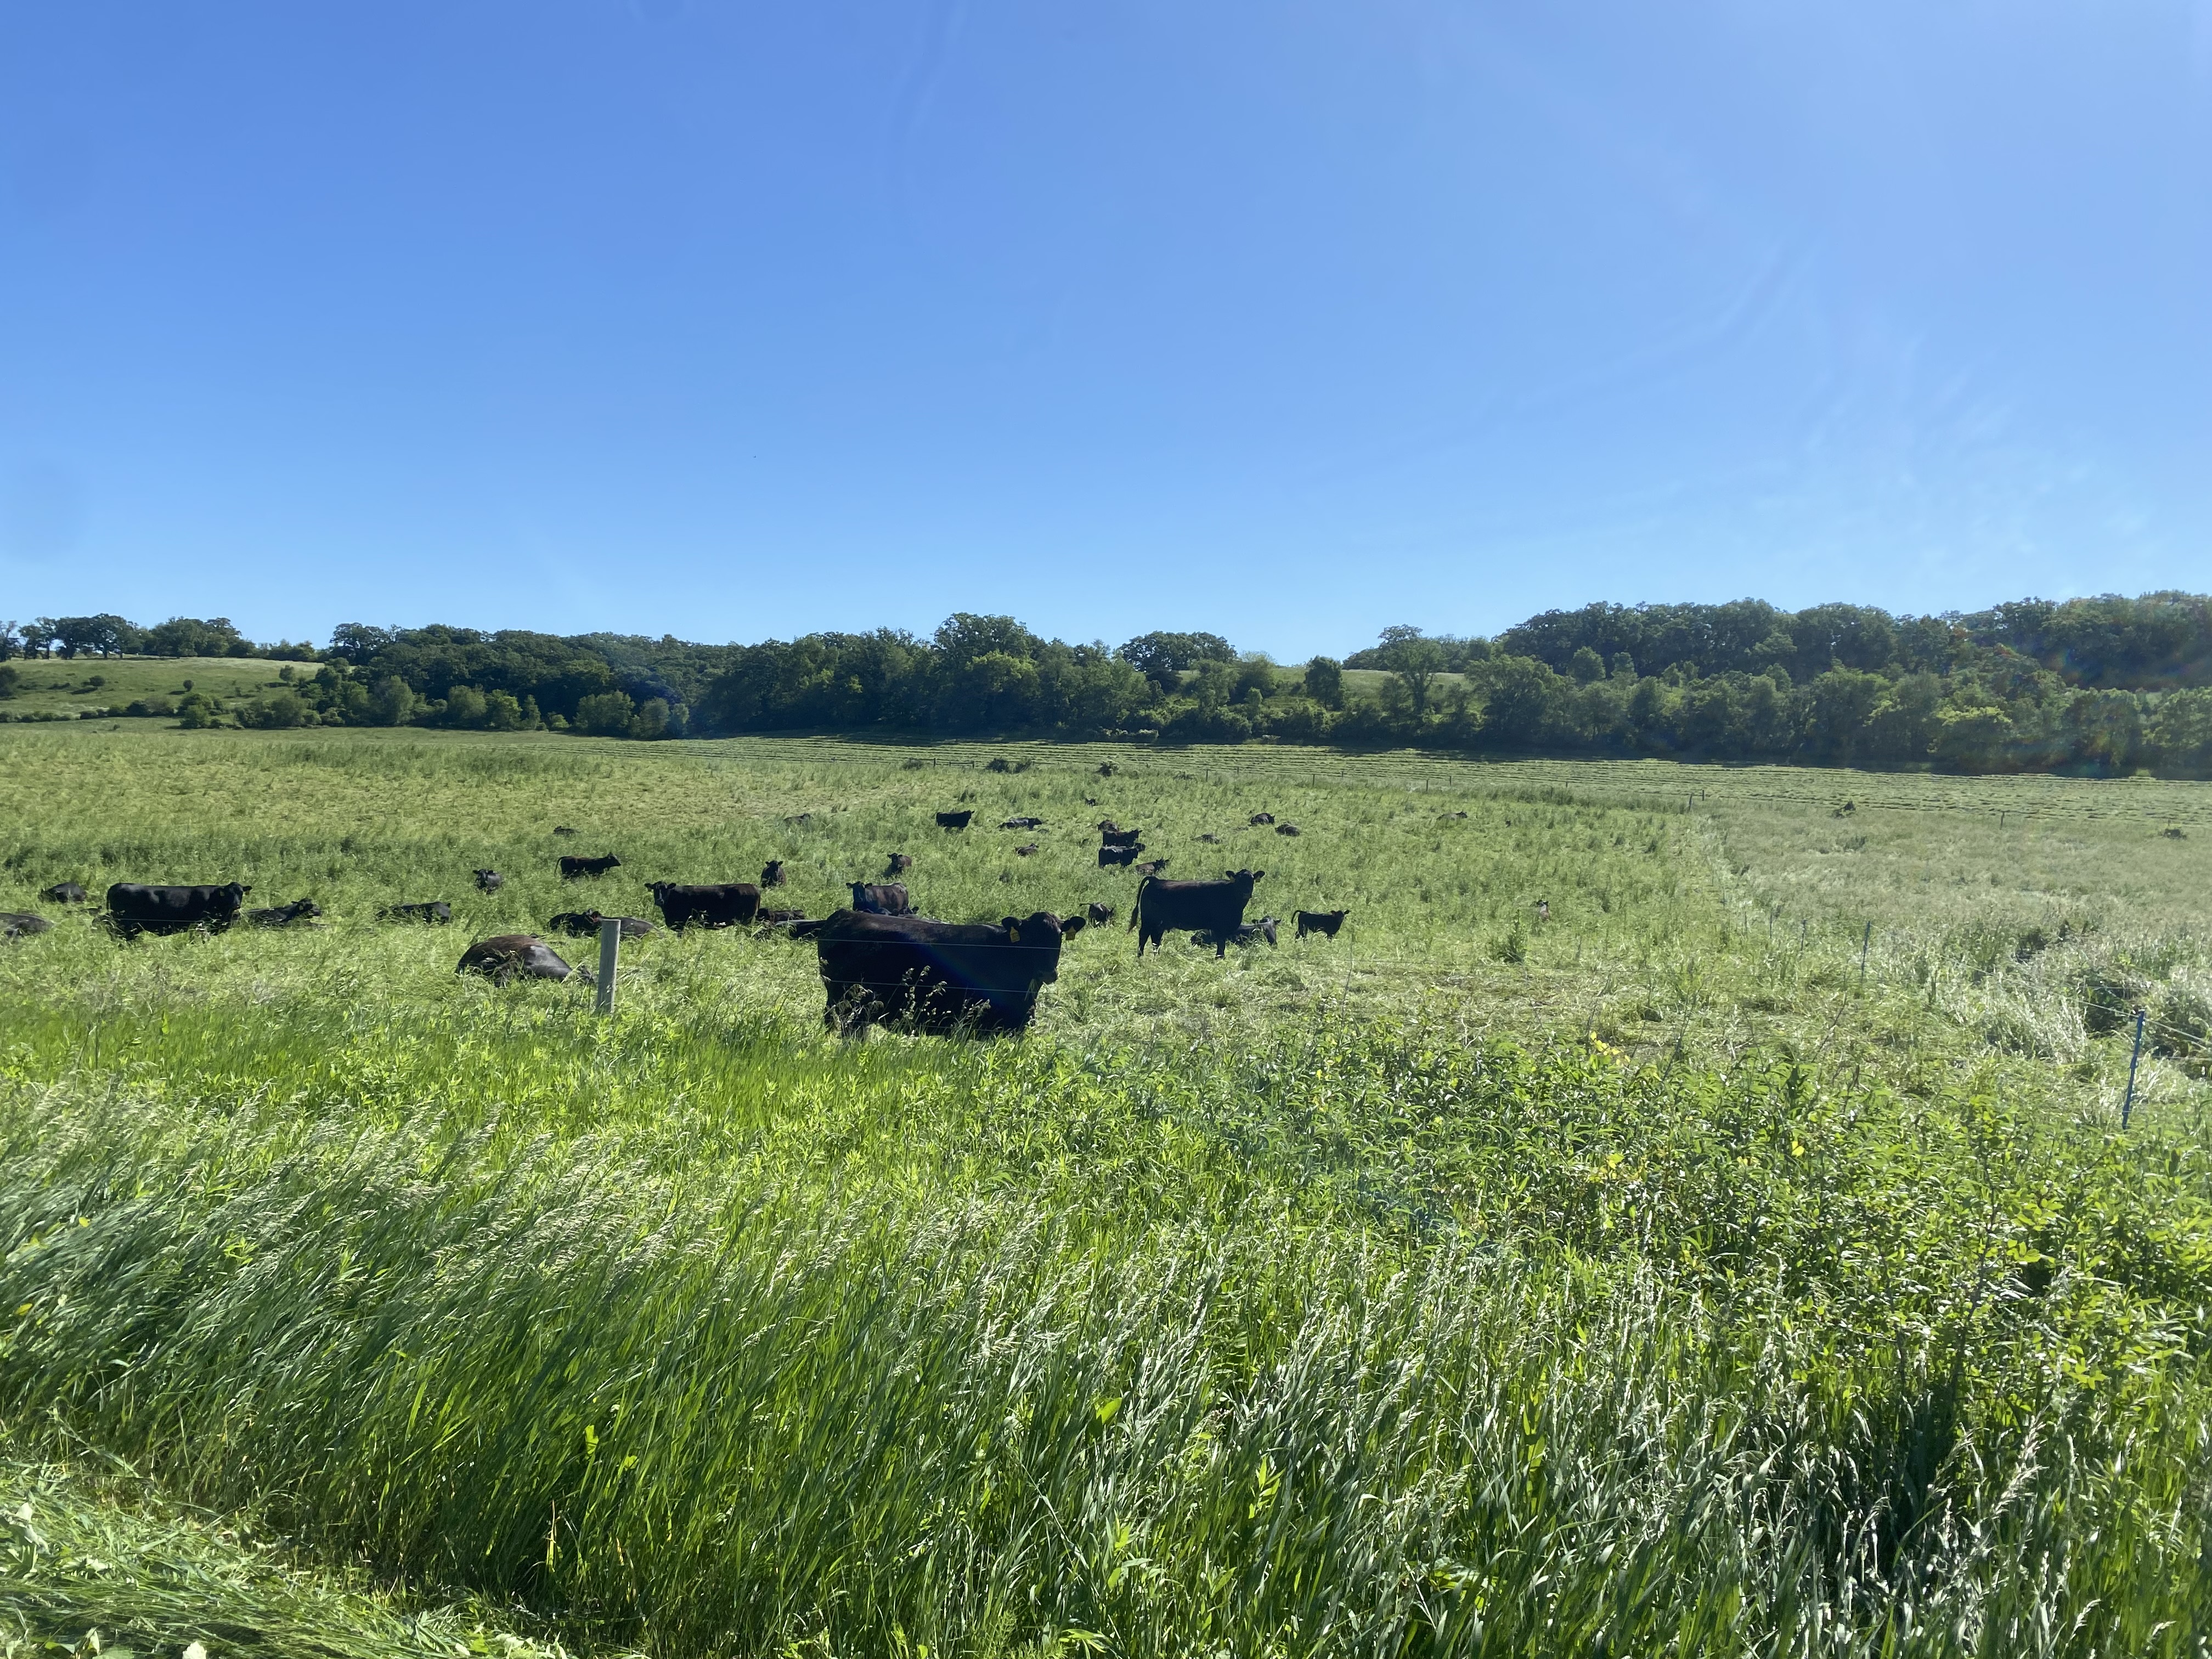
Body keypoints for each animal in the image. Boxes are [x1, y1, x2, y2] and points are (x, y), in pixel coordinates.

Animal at [105, 882, 251, 939]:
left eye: (241, 893)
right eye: (229, 894)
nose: (237, 905)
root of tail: (118, 885)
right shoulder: (201, 925)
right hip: (125, 925)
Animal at [646, 881, 760, 931]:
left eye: (666, 890)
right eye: (655, 890)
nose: (659, 901)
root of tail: (752, 887)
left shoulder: (684, 925)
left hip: (745, 921)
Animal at [1130, 869, 1263, 959]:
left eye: (1251, 880)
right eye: (1239, 881)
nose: (1246, 892)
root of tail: (1156, 880)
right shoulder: (1220, 927)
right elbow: (1221, 945)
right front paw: (1220, 958)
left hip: (1159, 924)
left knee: (1156, 939)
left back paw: (1157, 956)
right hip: (1148, 920)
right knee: (1144, 935)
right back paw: (1140, 956)